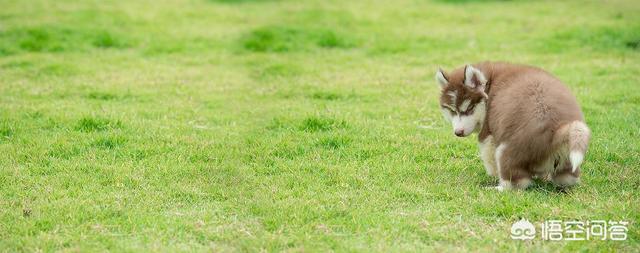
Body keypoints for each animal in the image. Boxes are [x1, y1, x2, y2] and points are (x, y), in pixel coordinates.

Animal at [436, 62, 592, 191]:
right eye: (452, 111)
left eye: (469, 109)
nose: (458, 132)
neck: (490, 83)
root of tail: (557, 129)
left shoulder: (488, 133)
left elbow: (488, 157)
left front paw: (492, 175)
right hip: (566, 160)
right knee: (568, 178)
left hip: (506, 151)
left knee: (518, 183)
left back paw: (496, 188)